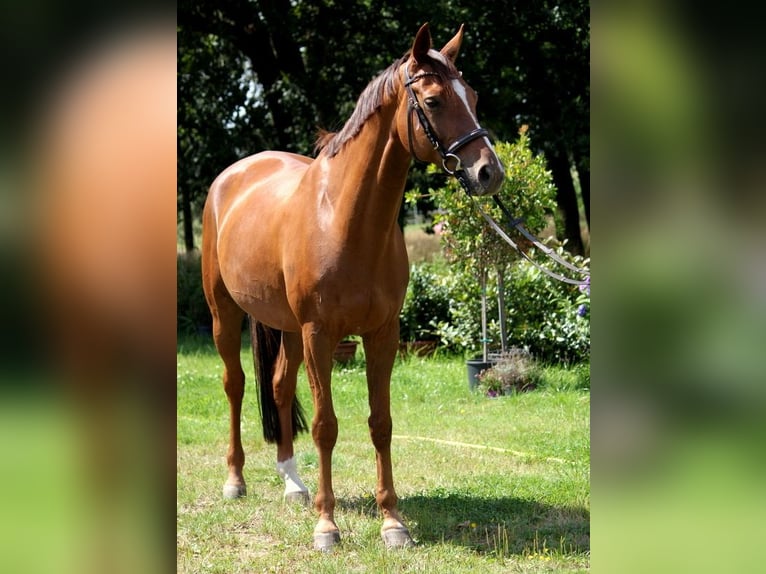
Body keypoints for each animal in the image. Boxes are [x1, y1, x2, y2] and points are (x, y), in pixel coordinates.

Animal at [201, 23, 508, 552]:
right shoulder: (320, 334)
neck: (345, 219)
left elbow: (381, 424)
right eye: (432, 100)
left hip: (287, 328)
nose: (489, 172)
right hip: (228, 314)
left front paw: (393, 522)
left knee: (279, 386)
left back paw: (293, 484)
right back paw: (235, 481)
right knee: (235, 385)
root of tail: (233, 176)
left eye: (472, 96)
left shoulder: (382, 335)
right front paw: (327, 526)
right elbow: (325, 426)